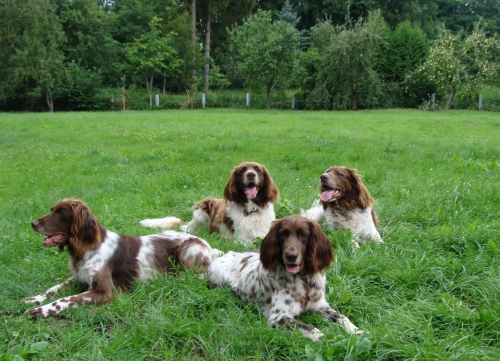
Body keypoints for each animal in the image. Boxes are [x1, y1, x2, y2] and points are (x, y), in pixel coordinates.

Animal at [23, 198, 219, 316]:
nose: (32, 223)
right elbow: (53, 289)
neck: (88, 247)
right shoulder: (80, 276)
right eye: (52, 210)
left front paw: (39, 310)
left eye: (60, 213)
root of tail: (210, 247)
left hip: (189, 247)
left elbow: (65, 300)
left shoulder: (104, 291)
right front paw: (33, 299)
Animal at [142, 162, 282, 246]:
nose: (251, 174)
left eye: (258, 170)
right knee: (188, 229)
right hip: (201, 211)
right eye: (243, 170)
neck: (253, 210)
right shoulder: (241, 240)